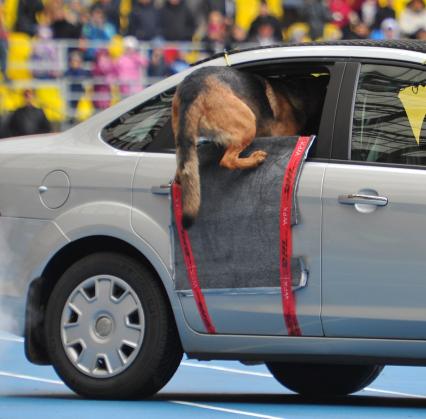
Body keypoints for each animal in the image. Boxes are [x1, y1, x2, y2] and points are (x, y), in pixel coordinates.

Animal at [171, 66, 318, 228]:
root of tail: (191, 88)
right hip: (248, 124)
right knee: (227, 161)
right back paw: (255, 160)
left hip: (186, 142)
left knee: (181, 174)